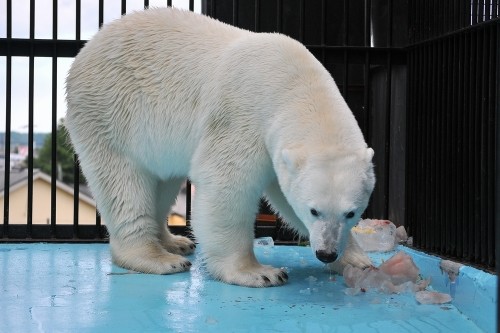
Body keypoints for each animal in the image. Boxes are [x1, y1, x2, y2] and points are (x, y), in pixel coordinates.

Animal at [64, 8, 374, 288]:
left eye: (351, 213)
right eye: (314, 211)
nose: (326, 253)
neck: (295, 86)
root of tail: (87, 49)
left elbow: (284, 196)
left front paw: (357, 259)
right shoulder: (243, 116)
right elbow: (227, 185)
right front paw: (259, 272)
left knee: (163, 181)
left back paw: (175, 242)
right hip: (111, 112)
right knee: (123, 185)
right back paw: (158, 257)